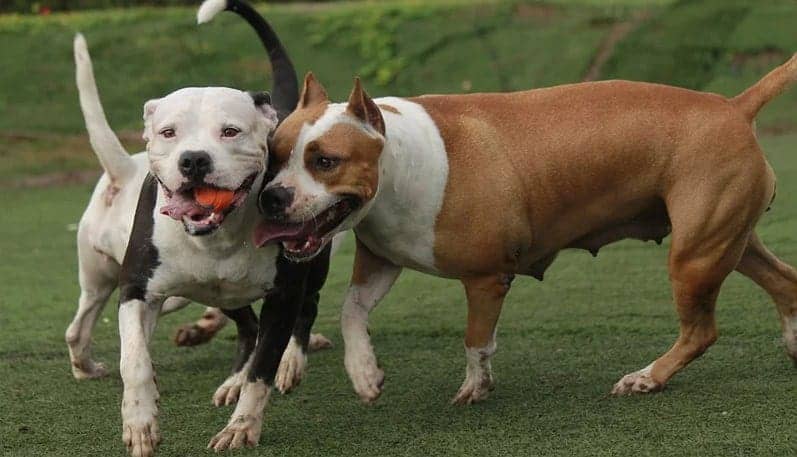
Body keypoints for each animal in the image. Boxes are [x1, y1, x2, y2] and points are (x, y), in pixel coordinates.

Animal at [70, 1, 340, 454]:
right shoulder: (137, 289)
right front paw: (140, 421)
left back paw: (290, 361)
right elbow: (134, 360)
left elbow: (263, 370)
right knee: (246, 327)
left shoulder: (283, 294)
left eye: (230, 131)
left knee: (305, 309)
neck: (218, 237)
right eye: (168, 133)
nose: (194, 159)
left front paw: (242, 426)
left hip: (310, 257)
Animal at [253, 54, 796, 402]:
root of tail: (734, 105)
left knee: (701, 330)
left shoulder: (485, 277)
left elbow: (476, 339)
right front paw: (364, 374)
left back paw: (647, 378)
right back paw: (792, 342)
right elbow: (351, 311)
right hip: (726, 241)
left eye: (325, 161)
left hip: (694, 255)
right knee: (783, 281)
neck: (397, 162)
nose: (271, 197)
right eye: (272, 156)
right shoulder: (382, 261)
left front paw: (475, 388)